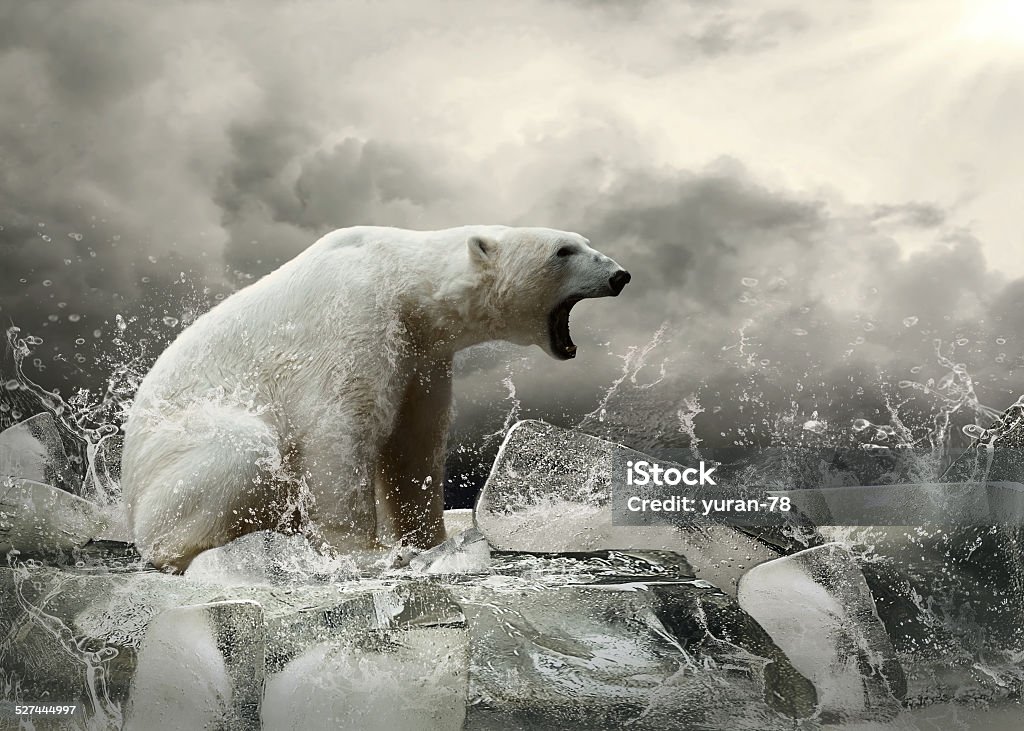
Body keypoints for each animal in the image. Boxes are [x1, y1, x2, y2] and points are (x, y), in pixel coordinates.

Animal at [122, 223, 626, 569]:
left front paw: (433, 542)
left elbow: (413, 444)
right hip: (178, 450)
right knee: (242, 449)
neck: (403, 281)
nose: (621, 275)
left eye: (581, 241)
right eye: (563, 250)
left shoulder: (422, 356)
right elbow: (340, 428)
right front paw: (369, 554)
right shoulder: (355, 316)